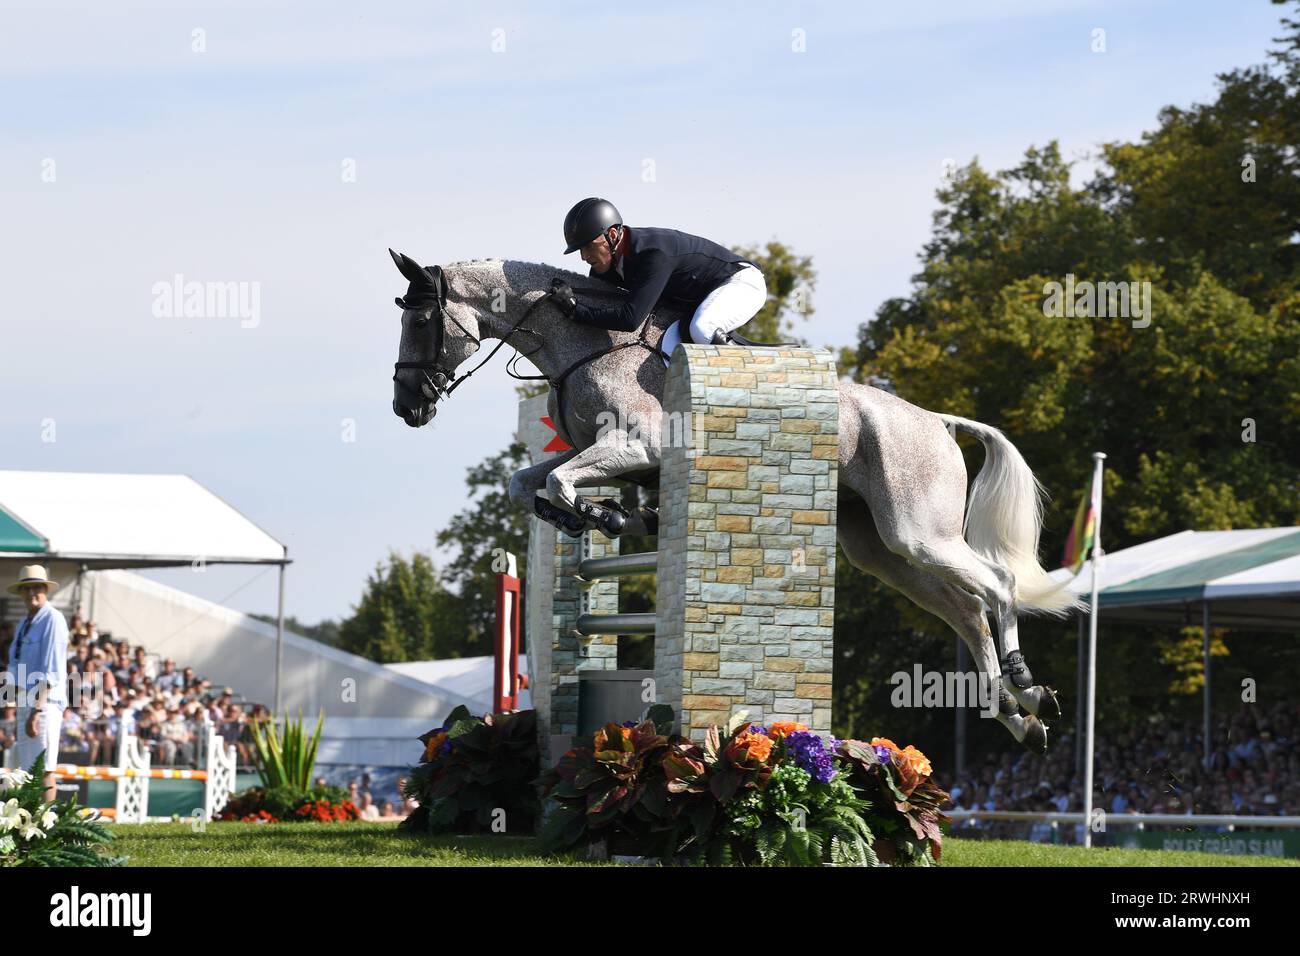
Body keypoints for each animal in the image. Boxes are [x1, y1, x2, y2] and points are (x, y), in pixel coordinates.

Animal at [387, 248, 1086, 754]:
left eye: (420, 321)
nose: (407, 407)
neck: (585, 345)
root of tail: (934, 420)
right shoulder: (590, 449)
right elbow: (529, 481)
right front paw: (607, 513)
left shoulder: (635, 443)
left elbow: (559, 482)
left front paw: (605, 513)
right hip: (880, 548)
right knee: (966, 612)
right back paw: (1021, 716)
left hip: (919, 532)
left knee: (997, 586)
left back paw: (1027, 685)